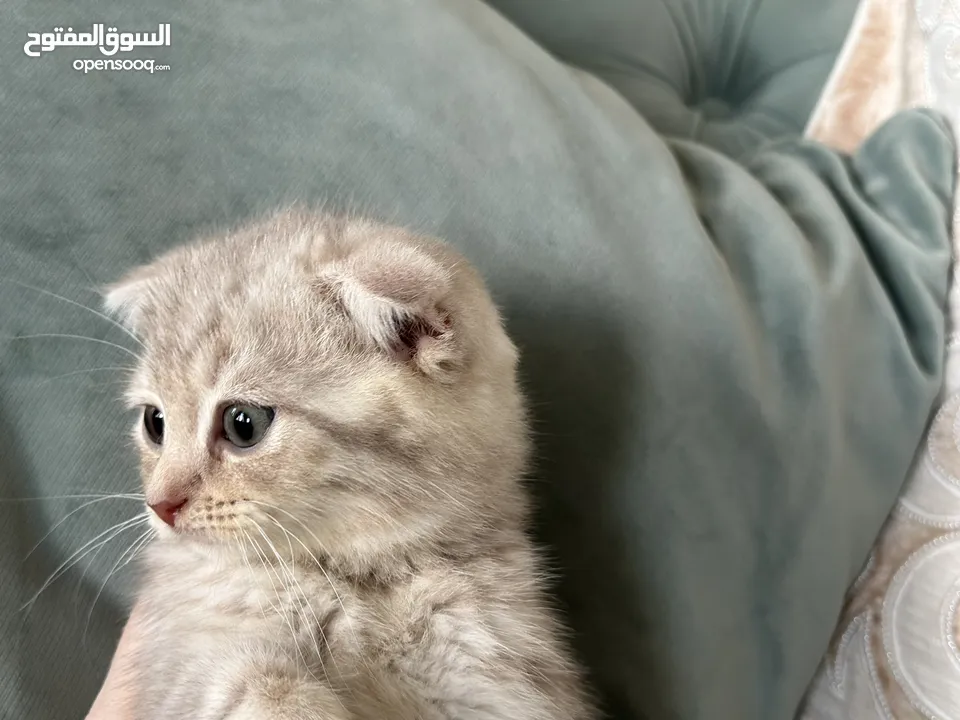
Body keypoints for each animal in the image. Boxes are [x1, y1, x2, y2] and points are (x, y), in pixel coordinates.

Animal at [105, 210, 600, 720]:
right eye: (155, 422)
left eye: (244, 424)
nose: (161, 505)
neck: (367, 578)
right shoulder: (185, 655)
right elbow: (257, 687)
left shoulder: (499, 674)